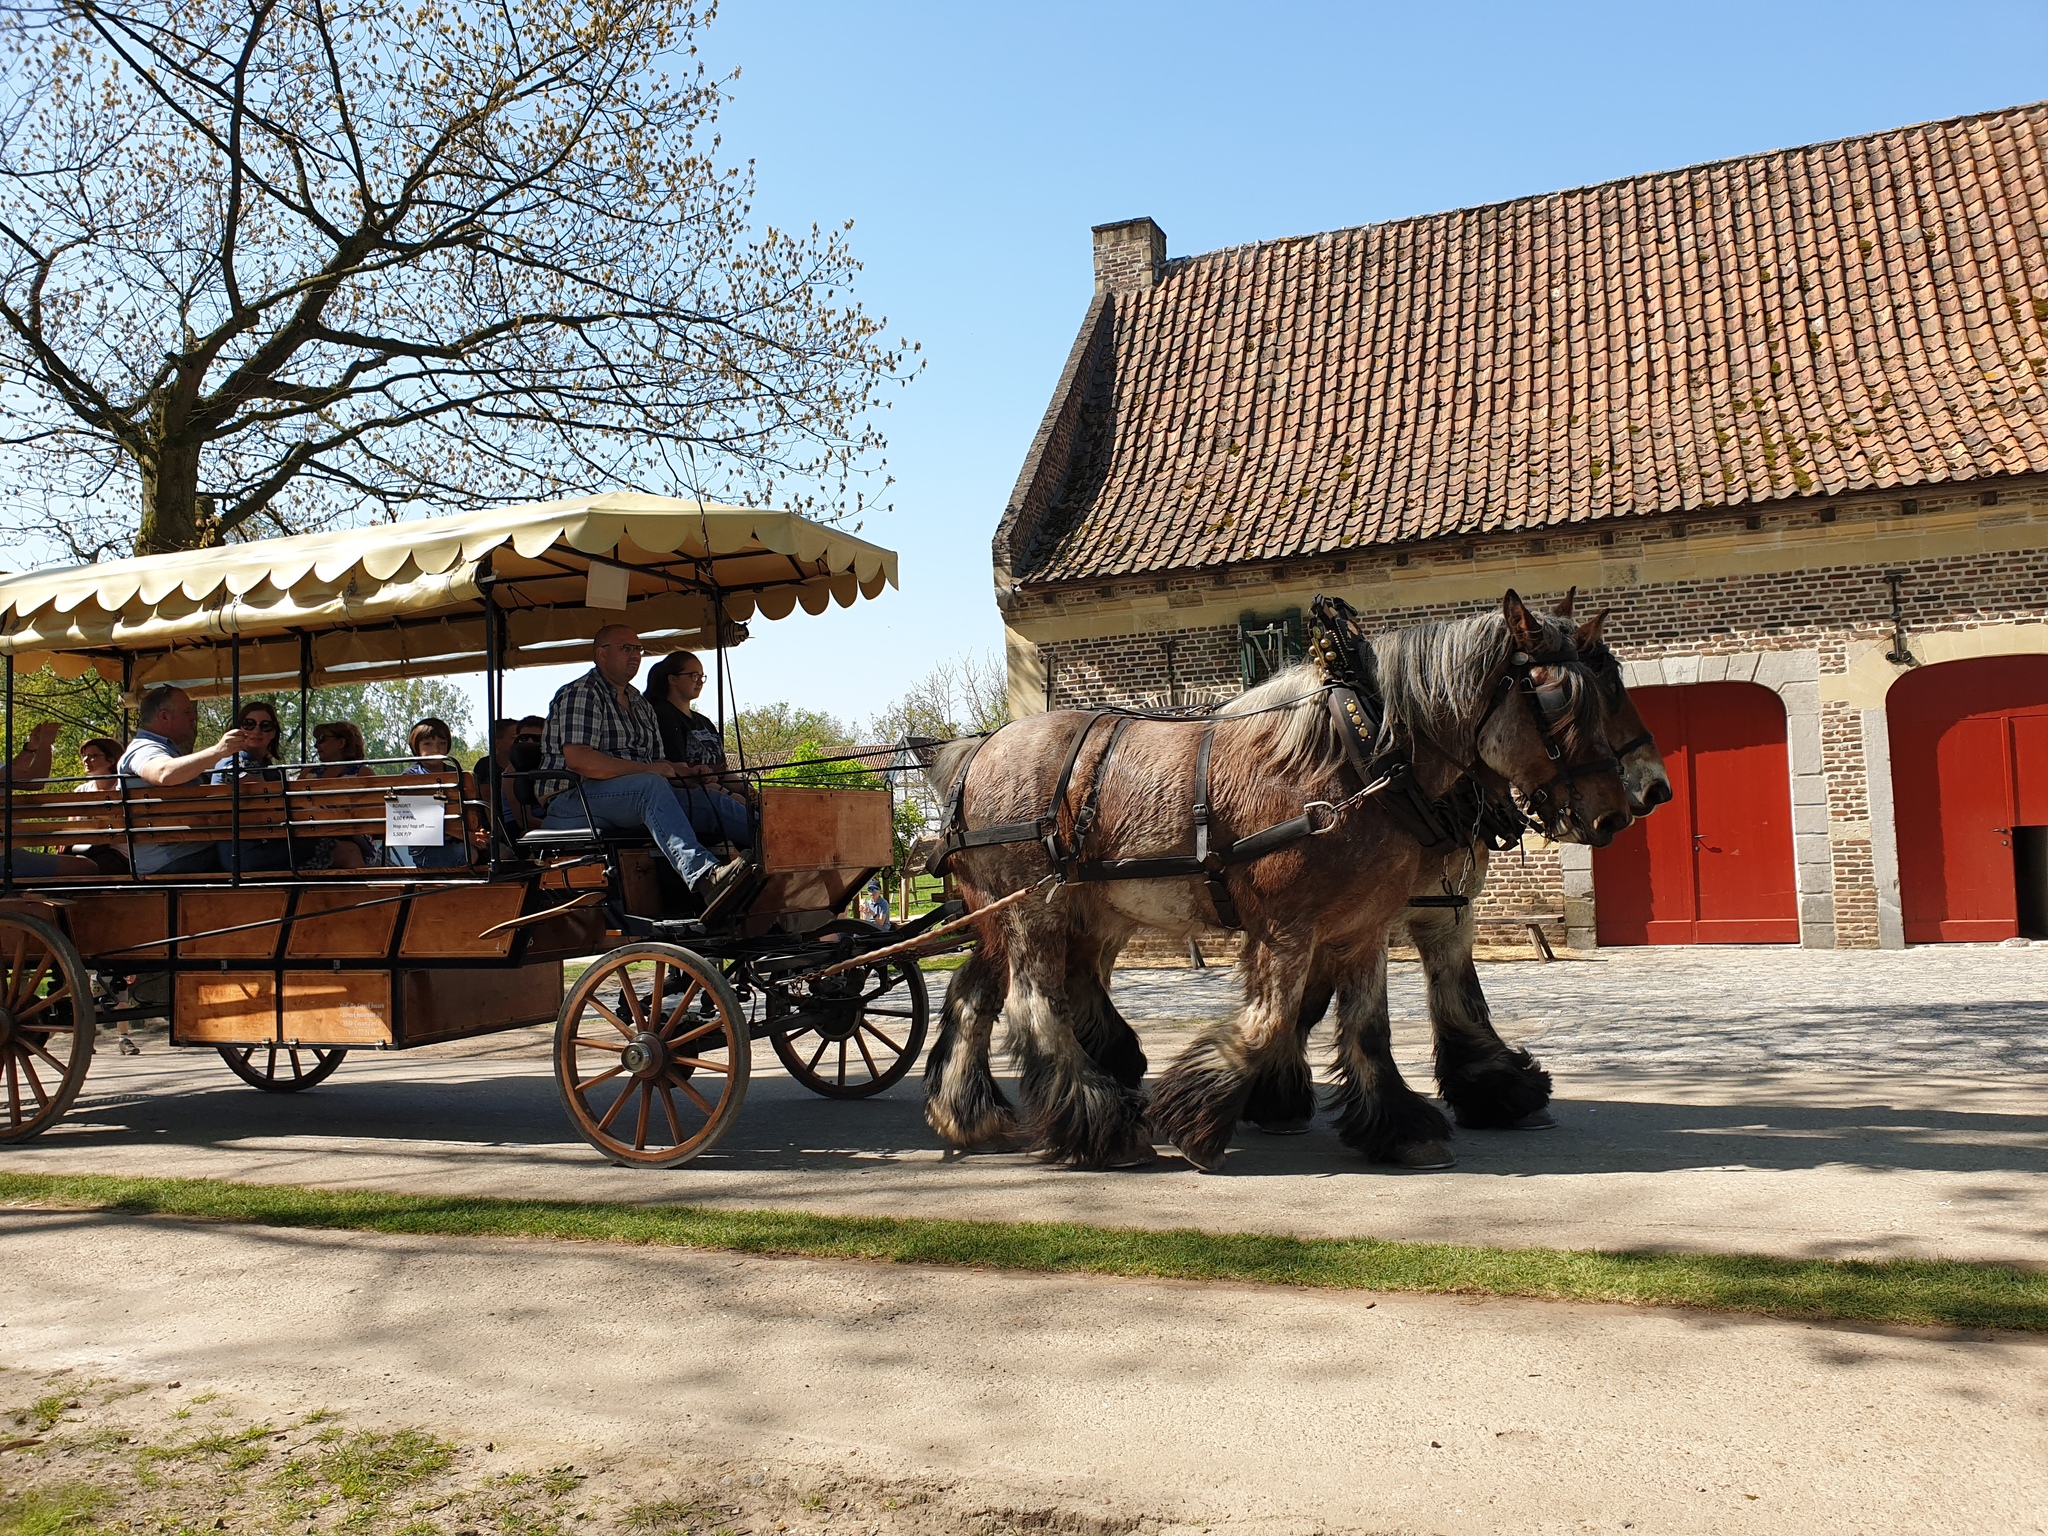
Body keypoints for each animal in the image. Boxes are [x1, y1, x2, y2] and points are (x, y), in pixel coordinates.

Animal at [929, 593, 1630, 1171]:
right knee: (1034, 1005)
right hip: (1034, 913)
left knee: (975, 993)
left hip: (1034, 915)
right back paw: (1100, 1125)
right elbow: (1270, 1020)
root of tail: (975, 753)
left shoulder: (1364, 925)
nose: (1616, 812)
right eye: (1559, 700)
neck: (1361, 760)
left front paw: (1399, 1126)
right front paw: (1200, 1119)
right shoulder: (1286, 926)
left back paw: (969, 1112)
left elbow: (1368, 1027)